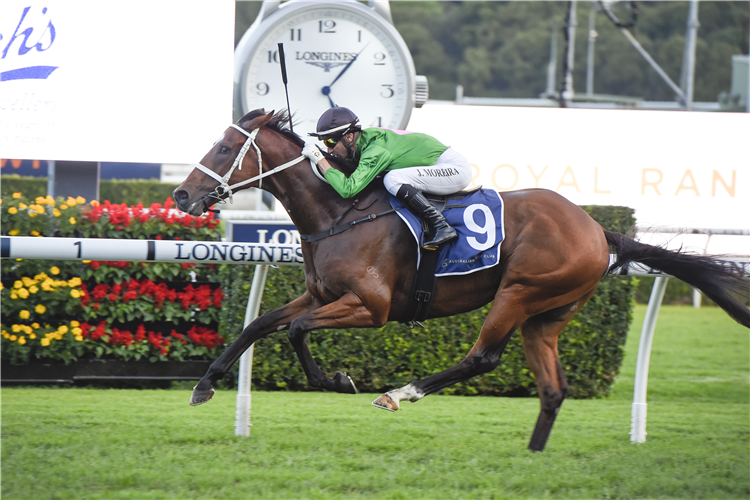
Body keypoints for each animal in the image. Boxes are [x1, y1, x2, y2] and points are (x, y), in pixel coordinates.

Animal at [173, 110, 748, 454]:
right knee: (553, 387)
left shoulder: (370, 307)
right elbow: (260, 326)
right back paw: (534, 454)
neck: (338, 213)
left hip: (520, 291)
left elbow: (294, 332)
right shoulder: (320, 295)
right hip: (547, 315)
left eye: (223, 149)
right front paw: (204, 385)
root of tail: (597, 227)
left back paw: (400, 393)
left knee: (484, 357)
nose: (181, 195)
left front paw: (337, 380)